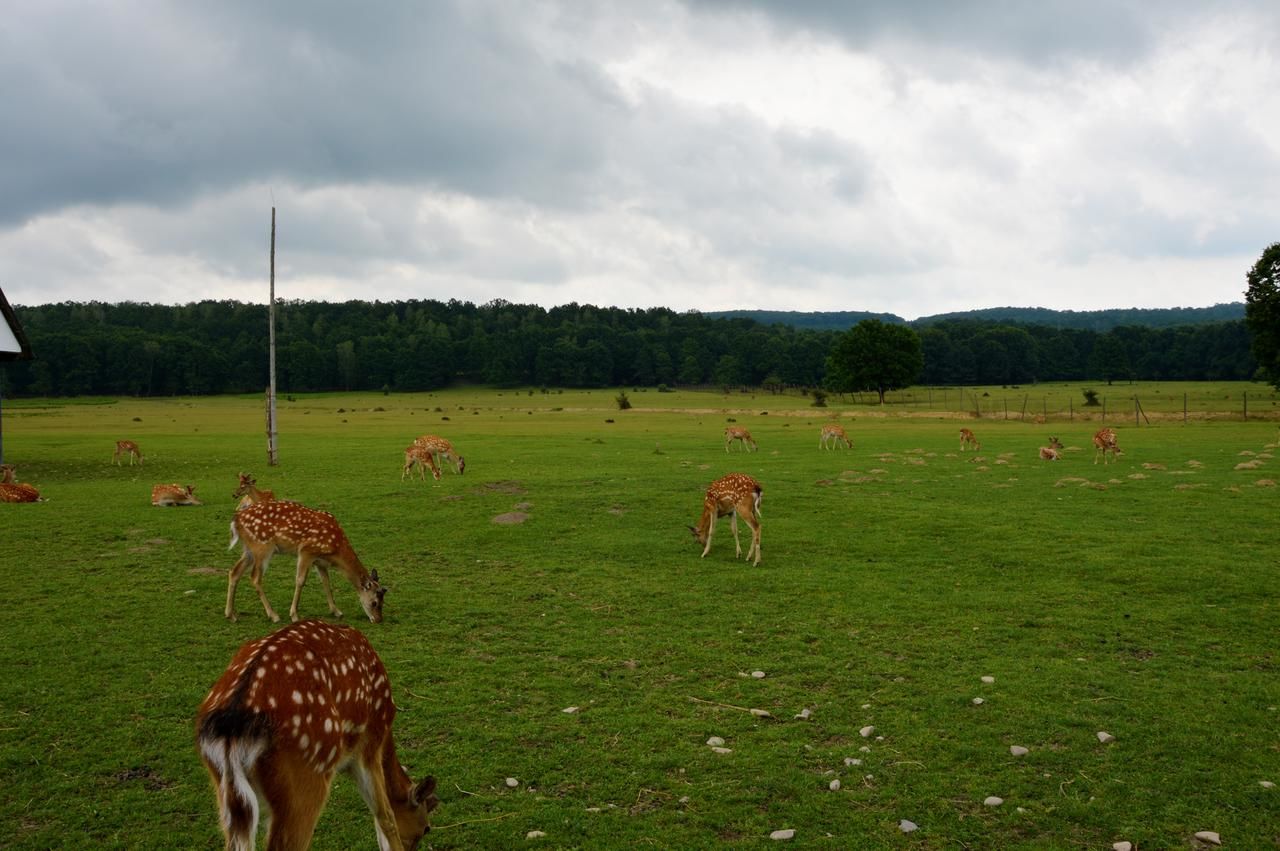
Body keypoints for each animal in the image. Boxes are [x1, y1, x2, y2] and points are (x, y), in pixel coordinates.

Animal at [195, 616, 440, 849]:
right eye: (425, 828)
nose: (422, 834)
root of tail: (232, 724)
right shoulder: (370, 744)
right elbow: (386, 816)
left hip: (226, 792)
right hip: (306, 777)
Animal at [225, 499, 384, 624]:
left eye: (384, 601)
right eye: (374, 602)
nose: (378, 620)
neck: (336, 550)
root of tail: (236, 519)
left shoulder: (320, 561)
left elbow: (326, 582)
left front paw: (336, 611)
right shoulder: (306, 551)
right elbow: (300, 580)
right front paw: (294, 615)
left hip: (249, 549)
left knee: (234, 571)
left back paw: (231, 615)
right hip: (262, 546)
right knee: (255, 578)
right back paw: (273, 615)